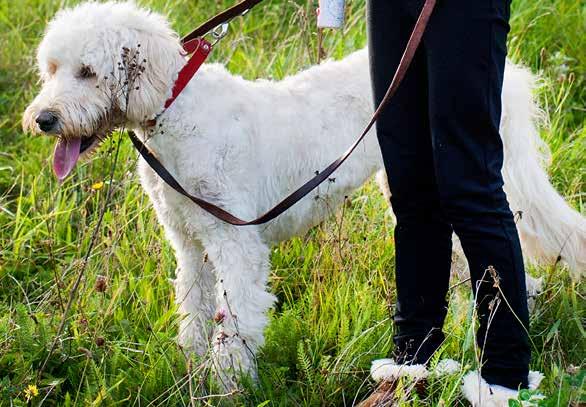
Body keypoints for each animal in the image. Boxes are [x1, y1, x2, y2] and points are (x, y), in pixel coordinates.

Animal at [24, 0, 584, 388]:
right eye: (51, 69)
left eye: (88, 72)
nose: (42, 120)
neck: (176, 110)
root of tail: (510, 79)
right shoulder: (190, 246)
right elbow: (196, 317)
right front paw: (191, 371)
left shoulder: (237, 247)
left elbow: (236, 329)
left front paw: (227, 388)